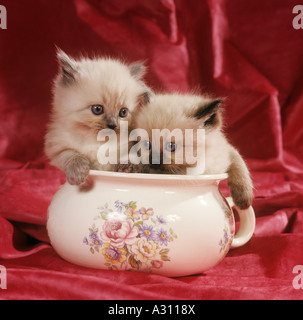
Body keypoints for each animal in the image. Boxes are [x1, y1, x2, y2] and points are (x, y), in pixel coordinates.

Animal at [44, 49, 151, 185]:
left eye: (123, 112)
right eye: (97, 109)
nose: (113, 125)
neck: (97, 143)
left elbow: (131, 156)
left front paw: (128, 166)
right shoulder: (58, 147)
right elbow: (71, 154)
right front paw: (78, 173)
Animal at [123, 92, 254, 210]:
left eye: (171, 146)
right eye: (147, 145)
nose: (154, 160)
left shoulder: (228, 153)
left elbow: (240, 167)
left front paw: (243, 202)